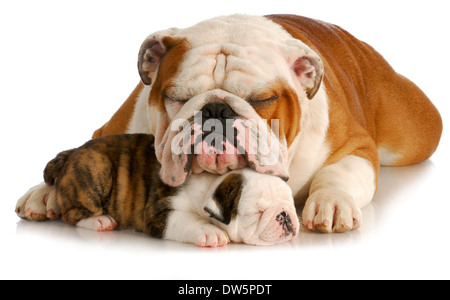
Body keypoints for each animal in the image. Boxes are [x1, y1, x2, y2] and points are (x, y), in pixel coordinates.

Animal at [15, 14, 442, 232]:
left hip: (415, 132)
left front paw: (331, 202)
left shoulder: (355, 146)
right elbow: (83, 151)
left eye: (262, 100)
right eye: (176, 96)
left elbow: (340, 172)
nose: (217, 110)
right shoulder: (110, 129)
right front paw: (45, 192)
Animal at [30, 134, 298, 246]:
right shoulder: (159, 213)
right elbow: (186, 221)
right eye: (256, 213)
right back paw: (99, 221)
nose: (284, 216)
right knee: (71, 213)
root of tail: (71, 153)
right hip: (97, 167)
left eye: (291, 205)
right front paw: (209, 232)